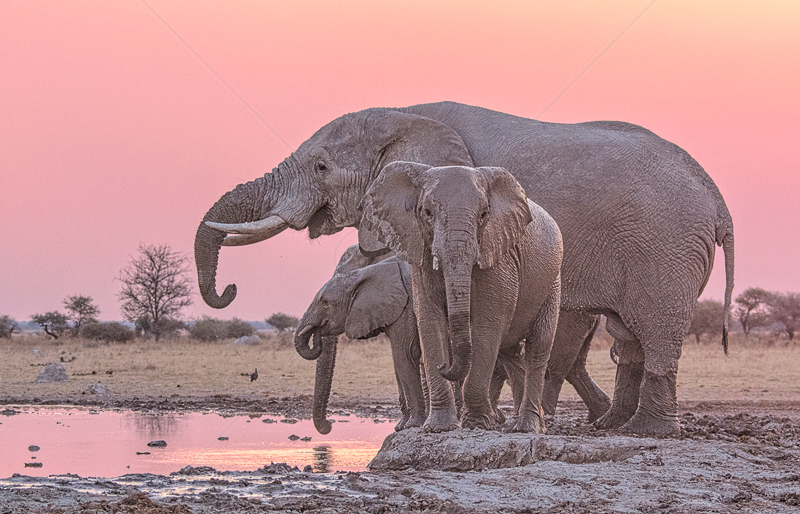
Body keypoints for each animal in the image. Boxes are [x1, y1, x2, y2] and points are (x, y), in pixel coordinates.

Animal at [362, 161, 564, 432]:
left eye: (484, 215)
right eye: (427, 212)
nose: (444, 366)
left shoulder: (498, 254)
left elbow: (488, 324)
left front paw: (477, 424)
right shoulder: (420, 253)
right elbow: (430, 320)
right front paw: (439, 427)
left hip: (552, 283)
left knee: (538, 349)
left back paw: (526, 428)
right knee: (512, 355)